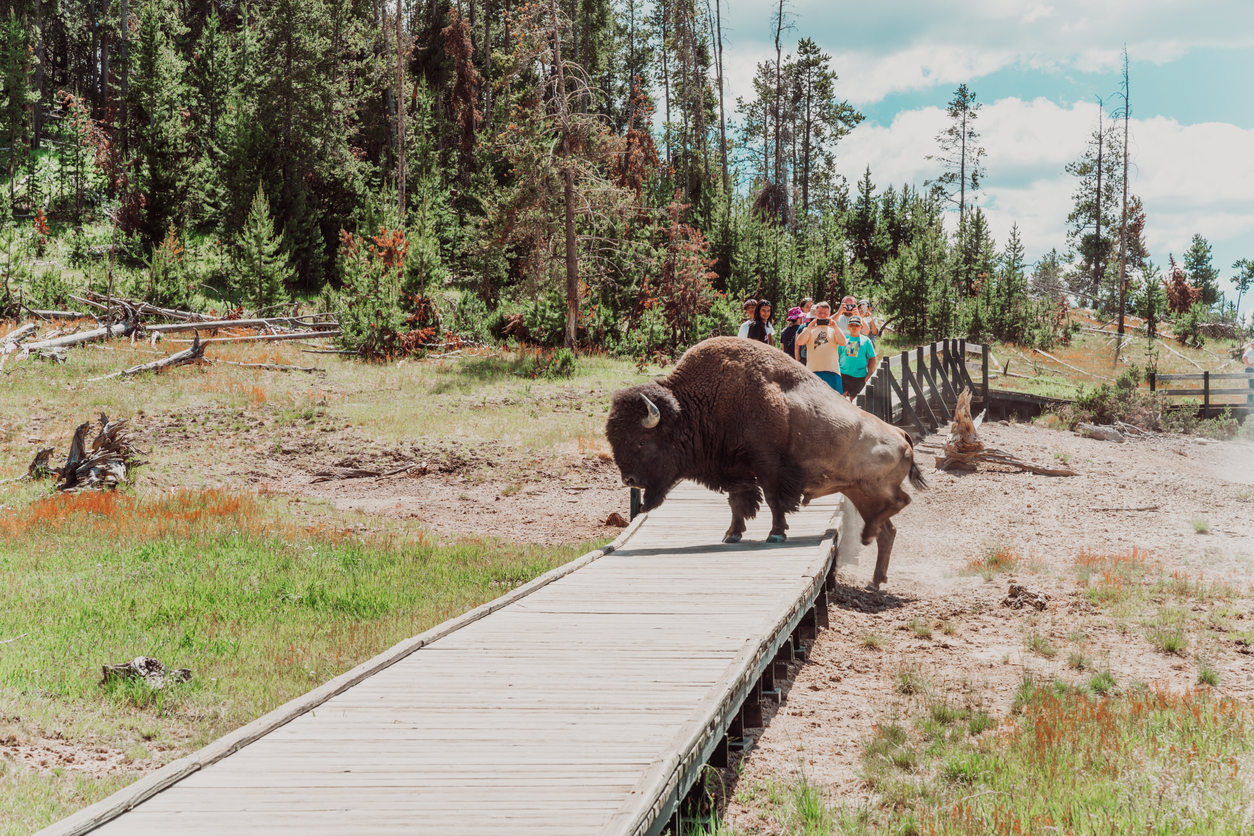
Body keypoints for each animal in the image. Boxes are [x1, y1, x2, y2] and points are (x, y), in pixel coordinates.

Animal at [606, 337, 924, 590]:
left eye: (641, 441)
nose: (629, 480)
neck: (692, 408)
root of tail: (900, 434)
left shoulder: (767, 464)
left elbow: (773, 499)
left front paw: (776, 534)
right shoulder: (735, 470)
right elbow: (737, 502)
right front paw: (732, 535)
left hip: (872, 488)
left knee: (901, 503)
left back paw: (868, 543)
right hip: (860, 493)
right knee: (888, 530)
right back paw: (875, 578)